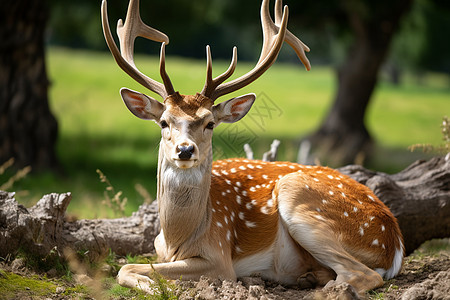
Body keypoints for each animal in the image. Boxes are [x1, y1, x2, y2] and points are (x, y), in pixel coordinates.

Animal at [102, 0, 404, 296]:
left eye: (210, 123)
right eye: (164, 122)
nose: (185, 150)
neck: (177, 238)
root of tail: (395, 245)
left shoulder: (219, 258)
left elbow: (126, 267)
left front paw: (159, 286)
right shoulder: (159, 248)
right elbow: (128, 267)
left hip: (298, 197)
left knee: (363, 275)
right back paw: (306, 277)